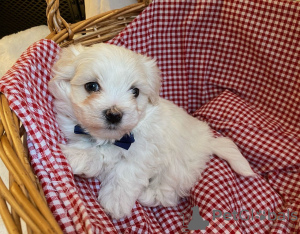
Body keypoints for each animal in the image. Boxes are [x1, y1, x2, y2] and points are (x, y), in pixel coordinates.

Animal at [49, 42, 255, 219]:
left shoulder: (144, 153)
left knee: (168, 191)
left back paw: (148, 195)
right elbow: (92, 148)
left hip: (179, 165)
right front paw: (78, 157)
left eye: (135, 91)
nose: (114, 114)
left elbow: (125, 172)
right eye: (91, 86)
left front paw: (116, 202)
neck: (115, 138)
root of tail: (208, 140)